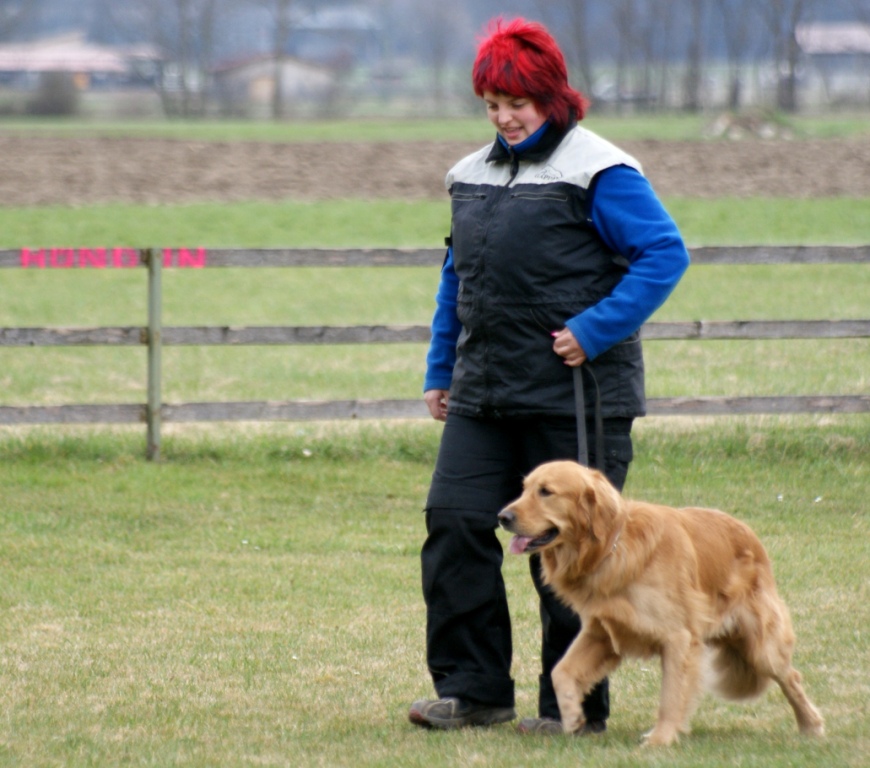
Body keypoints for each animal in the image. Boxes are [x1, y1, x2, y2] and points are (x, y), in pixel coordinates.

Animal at [498, 460, 825, 746]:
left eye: (546, 492)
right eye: (524, 489)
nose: (502, 517)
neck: (613, 547)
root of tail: (748, 533)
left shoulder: (678, 639)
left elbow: (671, 696)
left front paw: (660, 739)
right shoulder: (601, 631)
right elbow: (561, 671)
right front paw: (572, 717)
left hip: (761, 645)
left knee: (791, 677)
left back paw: (811, 725)